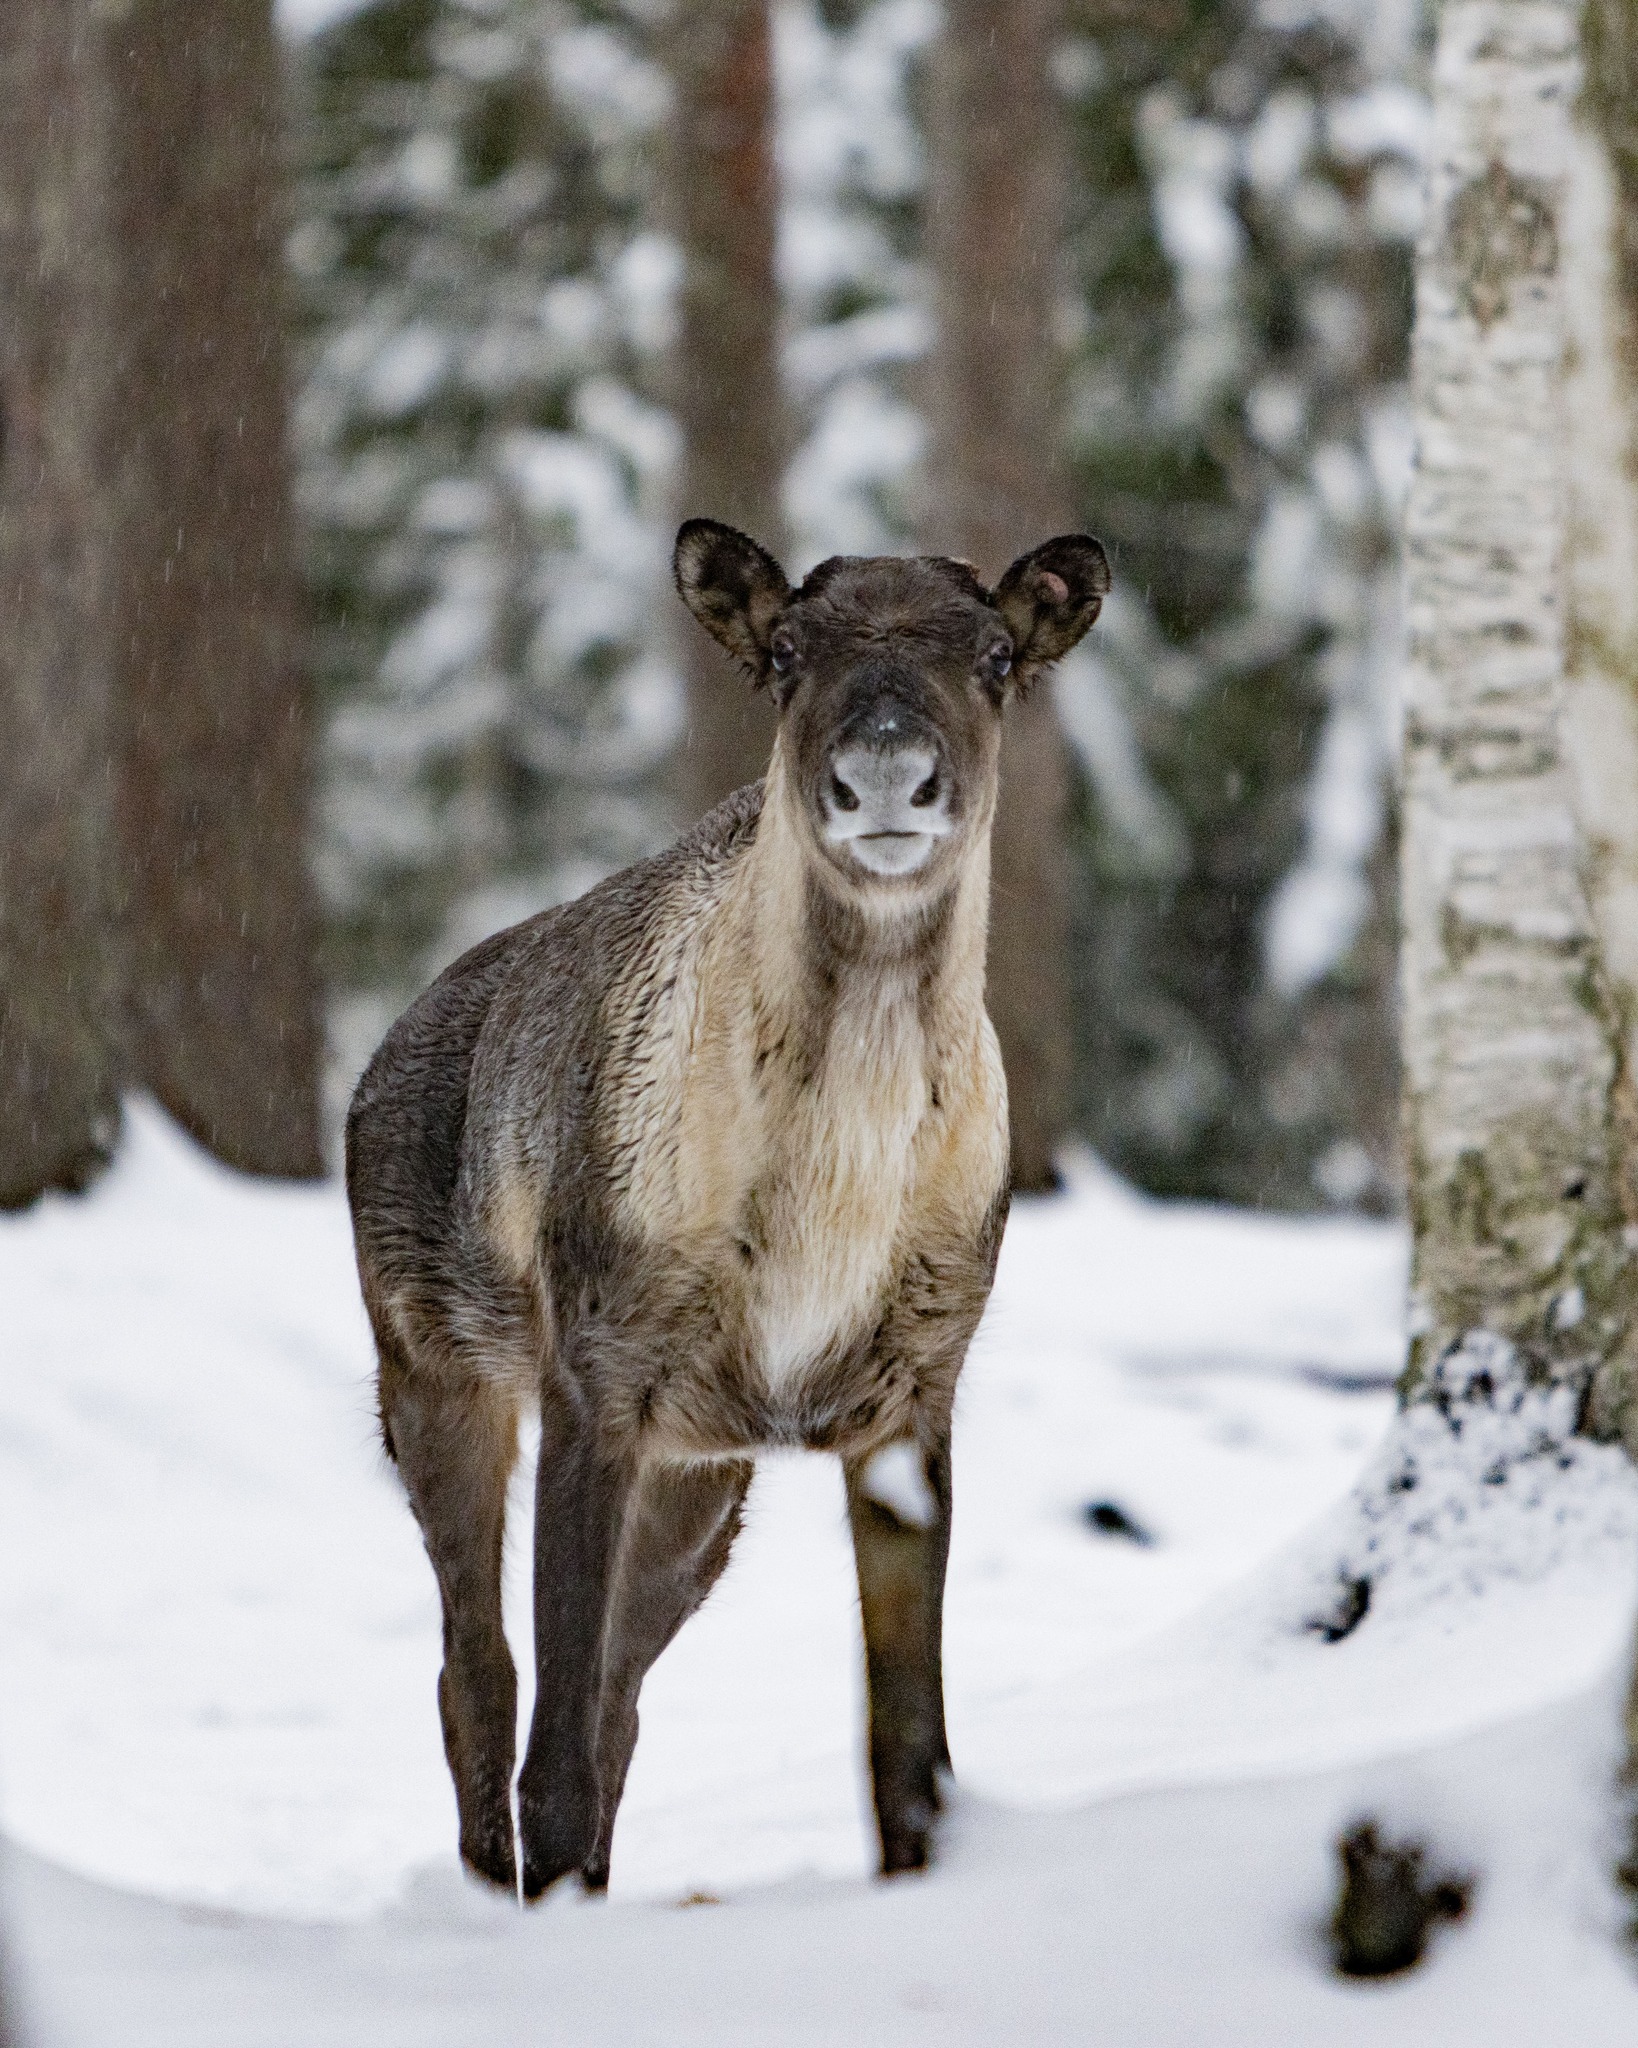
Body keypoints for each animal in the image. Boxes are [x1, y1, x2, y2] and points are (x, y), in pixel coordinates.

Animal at [345, 519, 1110, 1900]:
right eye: (787, 652)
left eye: (995, 655)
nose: (884, 776)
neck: (833, 1194)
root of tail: (373, 1062)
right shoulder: (596, 1371)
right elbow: (551, 1756)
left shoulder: (912, 1392)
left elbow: (909, 1760)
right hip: (433, 1366)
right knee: (478, 1674)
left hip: (705, 1472)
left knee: (619, 1700)